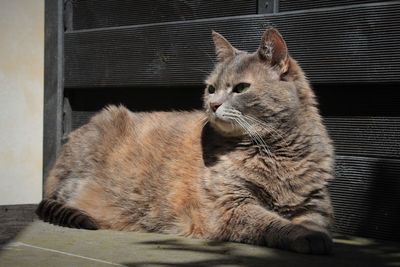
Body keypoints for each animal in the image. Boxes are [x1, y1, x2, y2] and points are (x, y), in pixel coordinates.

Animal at [36, 27, 334, 255]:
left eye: (241, 88)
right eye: (211, 88)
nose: (213, 104)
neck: (275, 151)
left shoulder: (316, 205)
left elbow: (311, 220)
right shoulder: (229, 206)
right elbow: (271, 222)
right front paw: (303, 235)